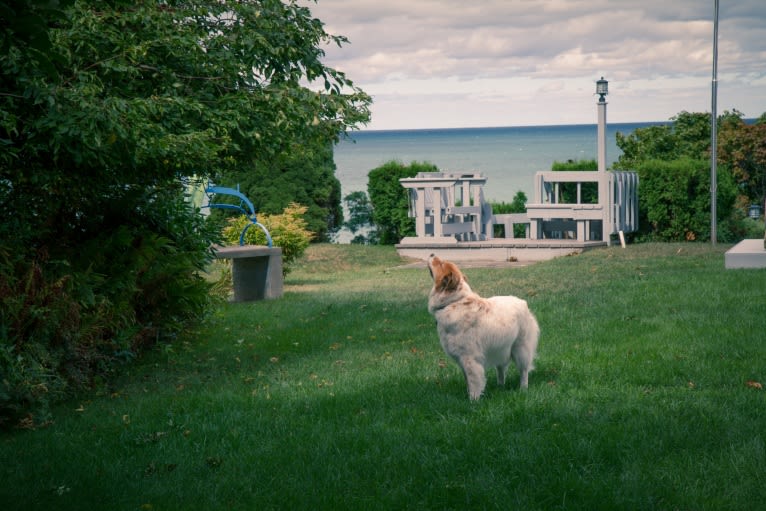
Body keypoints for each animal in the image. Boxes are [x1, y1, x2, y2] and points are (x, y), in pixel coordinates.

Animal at [426, 255, 540, 400]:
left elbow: (474, 382)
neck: (454, 302)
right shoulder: (462, 360)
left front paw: (473, 400)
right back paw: (500, 387)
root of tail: (523, 303)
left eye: (440, 264)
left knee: (524, 371)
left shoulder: (470, 358)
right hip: (501, 349)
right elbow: (468, 381)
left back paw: (523, 389)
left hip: (520, 349)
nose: (431, 254)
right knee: (501, 370)